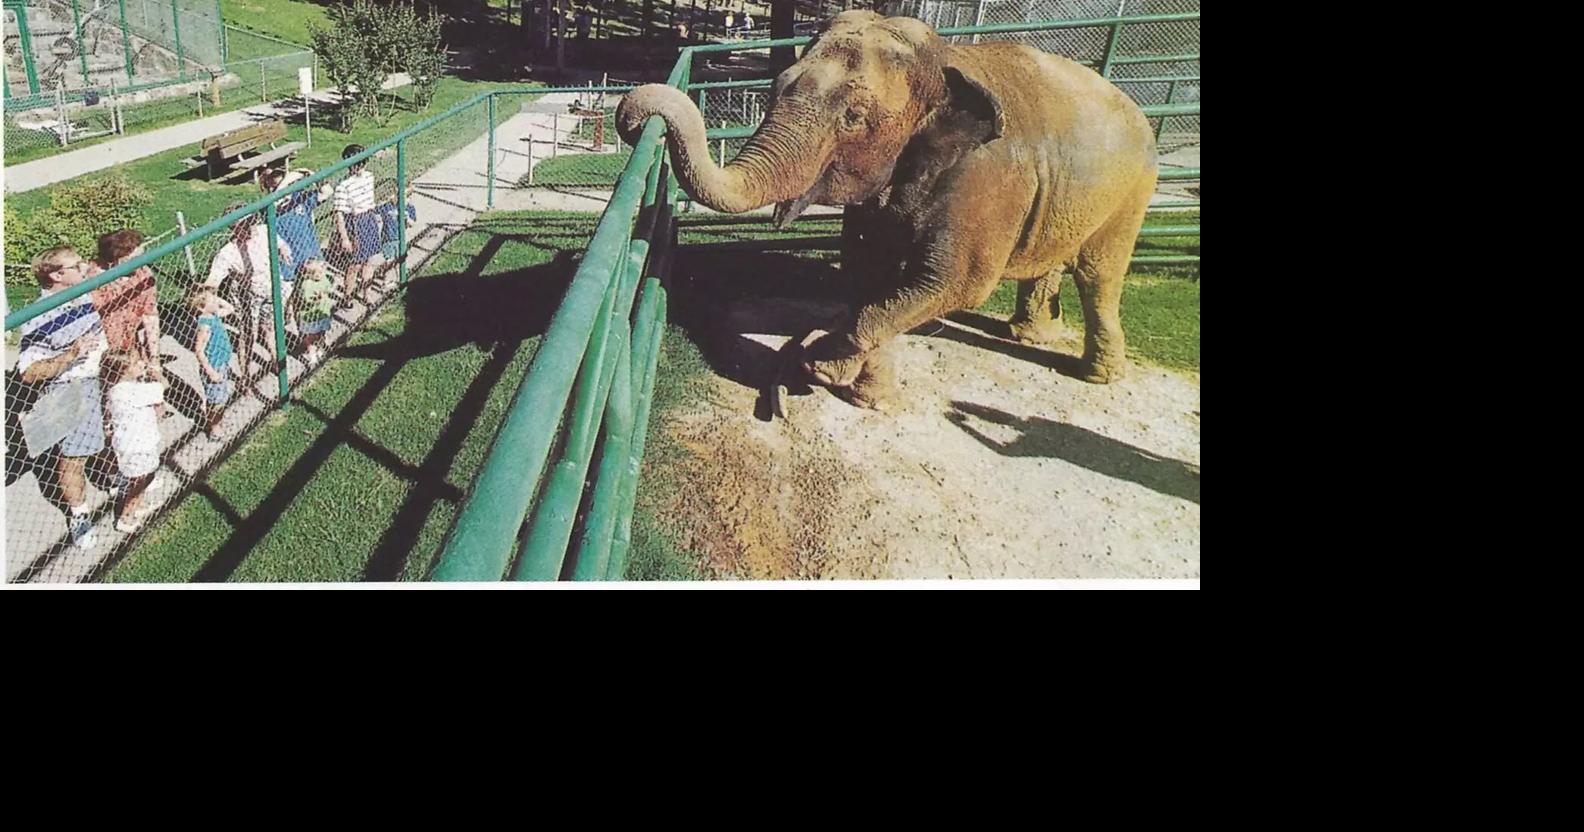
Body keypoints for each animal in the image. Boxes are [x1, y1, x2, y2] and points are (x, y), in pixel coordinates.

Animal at [616, 10, 1157, 410]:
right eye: (775, 88)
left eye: (854, 117)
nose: (634, 114)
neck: (946, 60)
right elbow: (867, 271)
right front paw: (866, 396)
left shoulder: (988, 182)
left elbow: (956, 282)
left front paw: (821, 364)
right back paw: (1029, 337)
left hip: (1132, 191)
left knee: (1099, 275)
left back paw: (1096, 375)